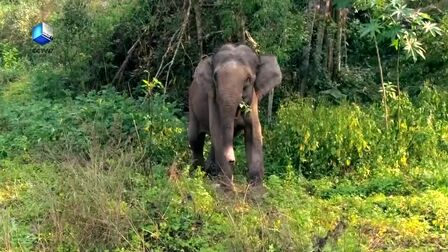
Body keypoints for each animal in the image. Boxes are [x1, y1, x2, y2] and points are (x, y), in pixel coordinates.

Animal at [187, 42, 282, 189]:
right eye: (215, 77)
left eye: (248, 79)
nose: (232, 160)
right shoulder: (213, 99)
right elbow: (218, 131)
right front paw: (227, 186)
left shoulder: (253, 101)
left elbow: (254, 133)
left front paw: (256, 186)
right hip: (192, 106)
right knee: (195, 138)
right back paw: (198, 172)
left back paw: (210, 171)